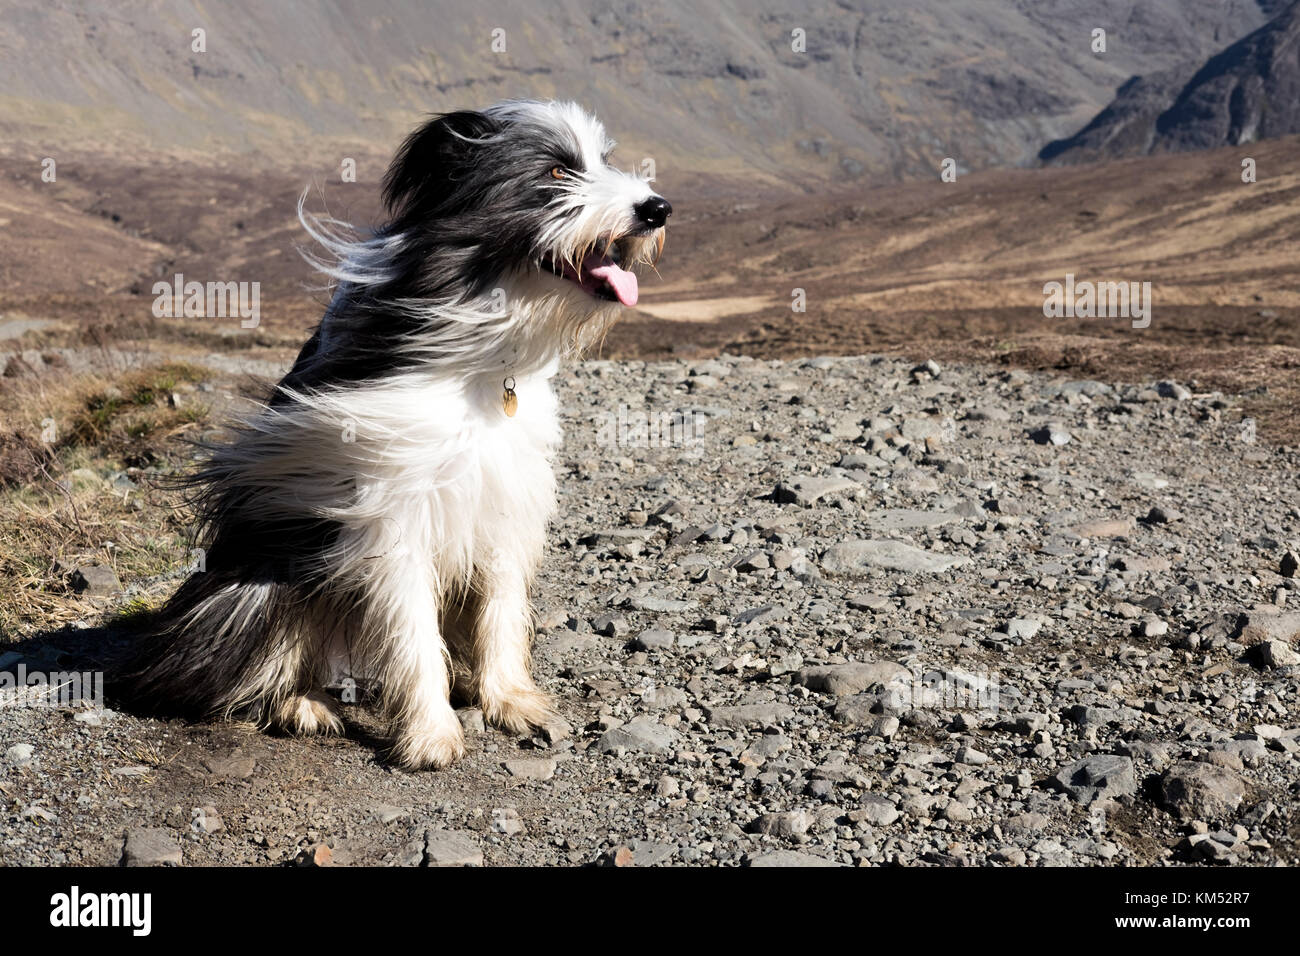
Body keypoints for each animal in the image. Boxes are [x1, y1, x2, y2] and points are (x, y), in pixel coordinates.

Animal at [122, 98, 676, 770]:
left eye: (604, 160)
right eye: (555, 172)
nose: (657, 208)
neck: (478, 364)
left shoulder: (503, 500)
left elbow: (500, 612)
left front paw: (508, 699)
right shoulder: (393, 513)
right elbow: (412, 634)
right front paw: (431, 734)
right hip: (263, 583)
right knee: (257, 668)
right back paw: (302, 704)